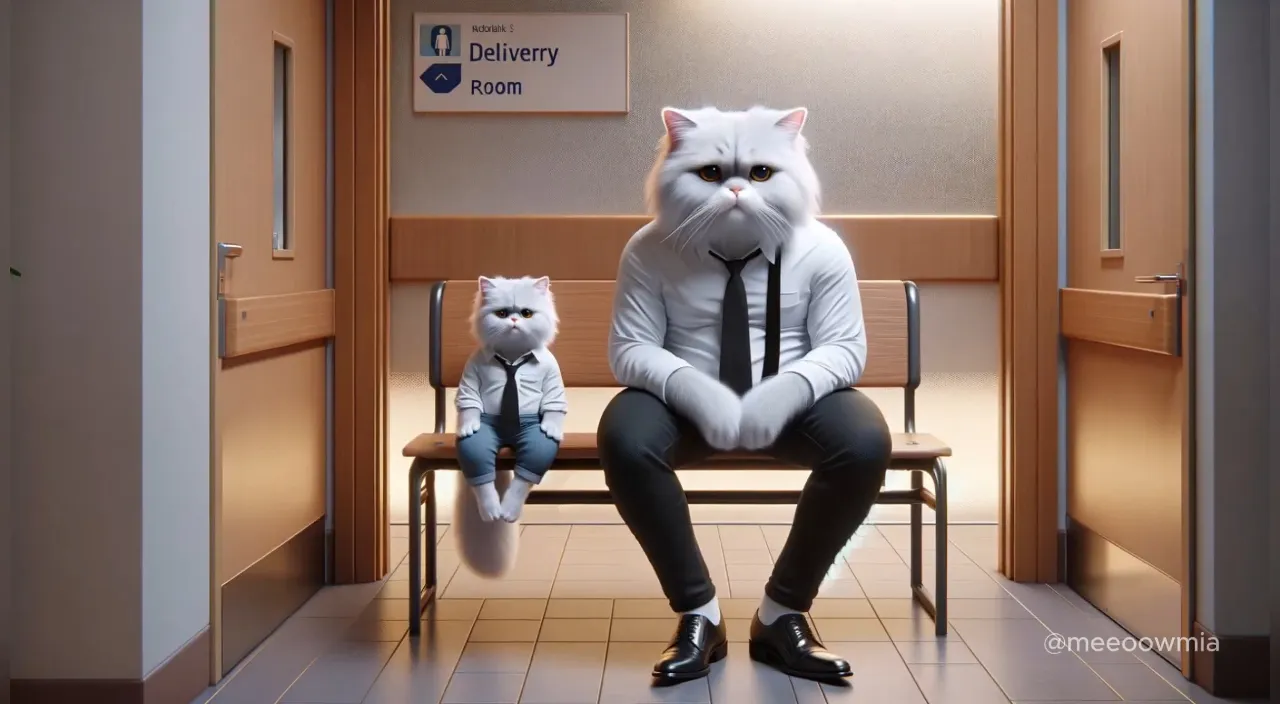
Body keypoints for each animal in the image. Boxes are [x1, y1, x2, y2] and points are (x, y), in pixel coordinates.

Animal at [455, 276, 565, 578]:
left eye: (527, 313)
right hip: (480, 442)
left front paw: (552, 427)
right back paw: (493, 510)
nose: (514, 320)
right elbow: (468, 402)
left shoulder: (552, 376)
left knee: (524, 476)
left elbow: (554, 404)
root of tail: (507, 439)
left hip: (534, 442)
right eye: (502, 313)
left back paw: (508, 511)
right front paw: (467, 424)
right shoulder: (470, 375)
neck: (513, 358)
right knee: (481, 473)